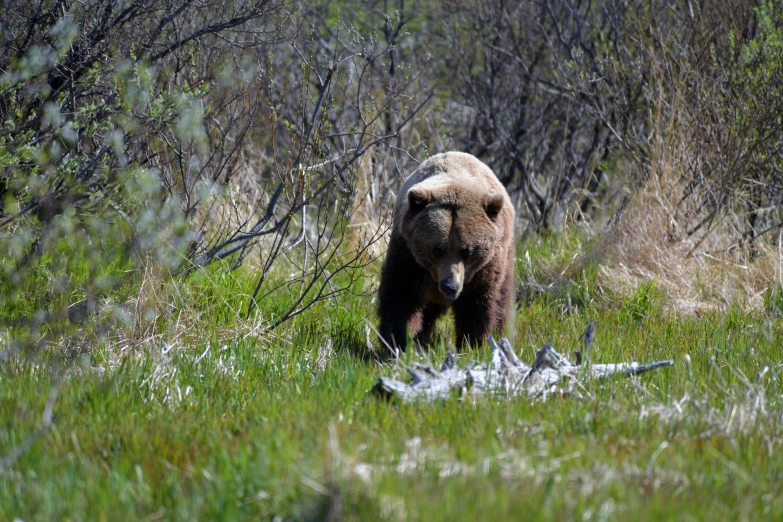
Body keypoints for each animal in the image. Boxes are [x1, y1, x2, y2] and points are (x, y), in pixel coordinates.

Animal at [378, 152, 516, 352]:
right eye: (437, 249)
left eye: (466, 250)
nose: (449, 286)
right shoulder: (408, 255)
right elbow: (400, 295)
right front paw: (398, 341)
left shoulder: (485, 268)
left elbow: (477, 305)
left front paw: (472, 344)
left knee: (502, 299)